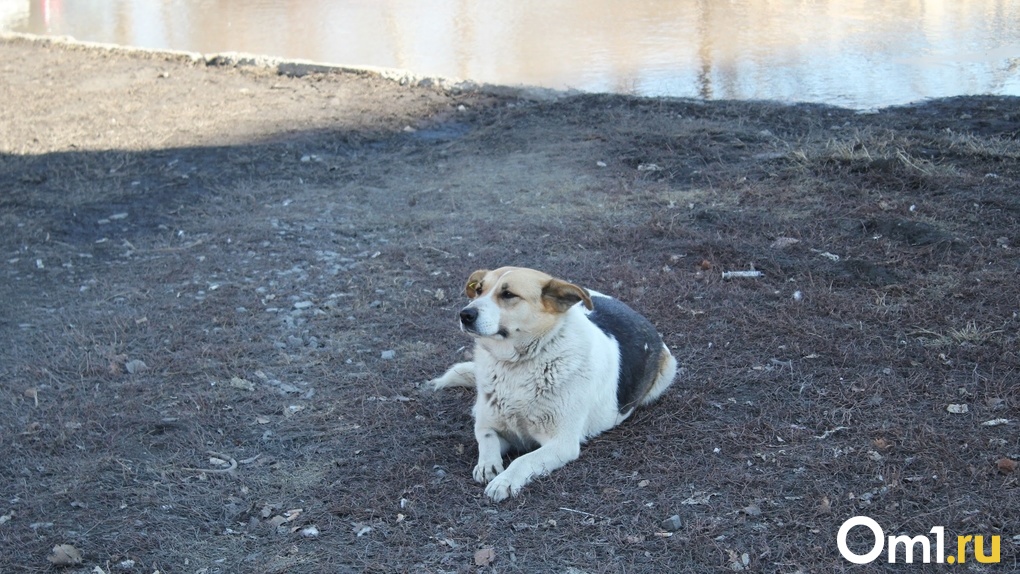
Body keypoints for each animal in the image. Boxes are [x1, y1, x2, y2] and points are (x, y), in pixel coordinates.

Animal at [432, 267, 677, 501]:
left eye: (508, 294)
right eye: (479, 290)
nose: (465, 314)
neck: (517, 366)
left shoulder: (562, 443)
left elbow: (522, 461)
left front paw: (505, 481)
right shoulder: (491, 425)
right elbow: (486, 438)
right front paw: (487, 465)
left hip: (667, 372)